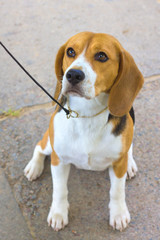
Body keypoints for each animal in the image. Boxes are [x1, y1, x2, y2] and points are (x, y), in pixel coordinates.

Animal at [23, 32, 144, 232]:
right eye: (70, 51)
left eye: (101, 56)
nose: (73, 74)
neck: (88, 113)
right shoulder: (58, 159)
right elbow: (60, 189)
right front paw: (58, 213)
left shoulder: (118, 163)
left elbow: (117, 191)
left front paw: (118, 214)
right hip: (49, 144)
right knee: (39, 147)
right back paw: (34, 167)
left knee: (129, 149)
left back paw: (130, 164)